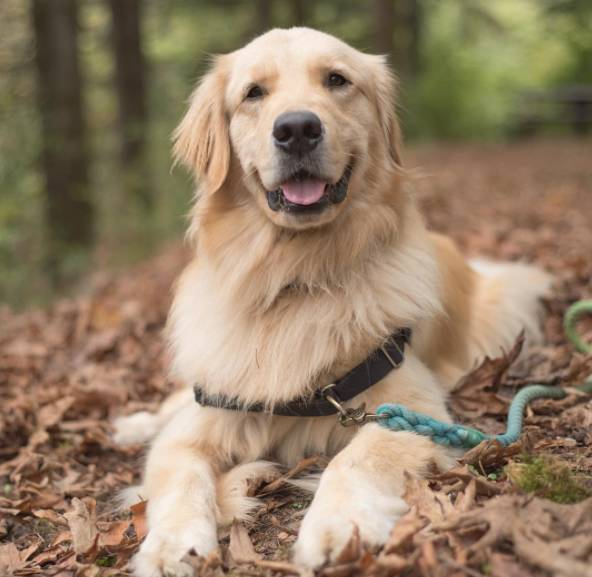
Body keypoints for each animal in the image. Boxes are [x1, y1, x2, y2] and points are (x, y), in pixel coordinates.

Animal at [114, 27, 552, 576]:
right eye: (253, 93)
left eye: (337, 80)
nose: (297, 128)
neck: (296, 277)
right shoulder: (204, 416)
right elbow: (179, 475)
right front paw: (173, 543)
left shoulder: (409, 408)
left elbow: (354, 460)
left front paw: (338, 527)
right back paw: (132, 425)